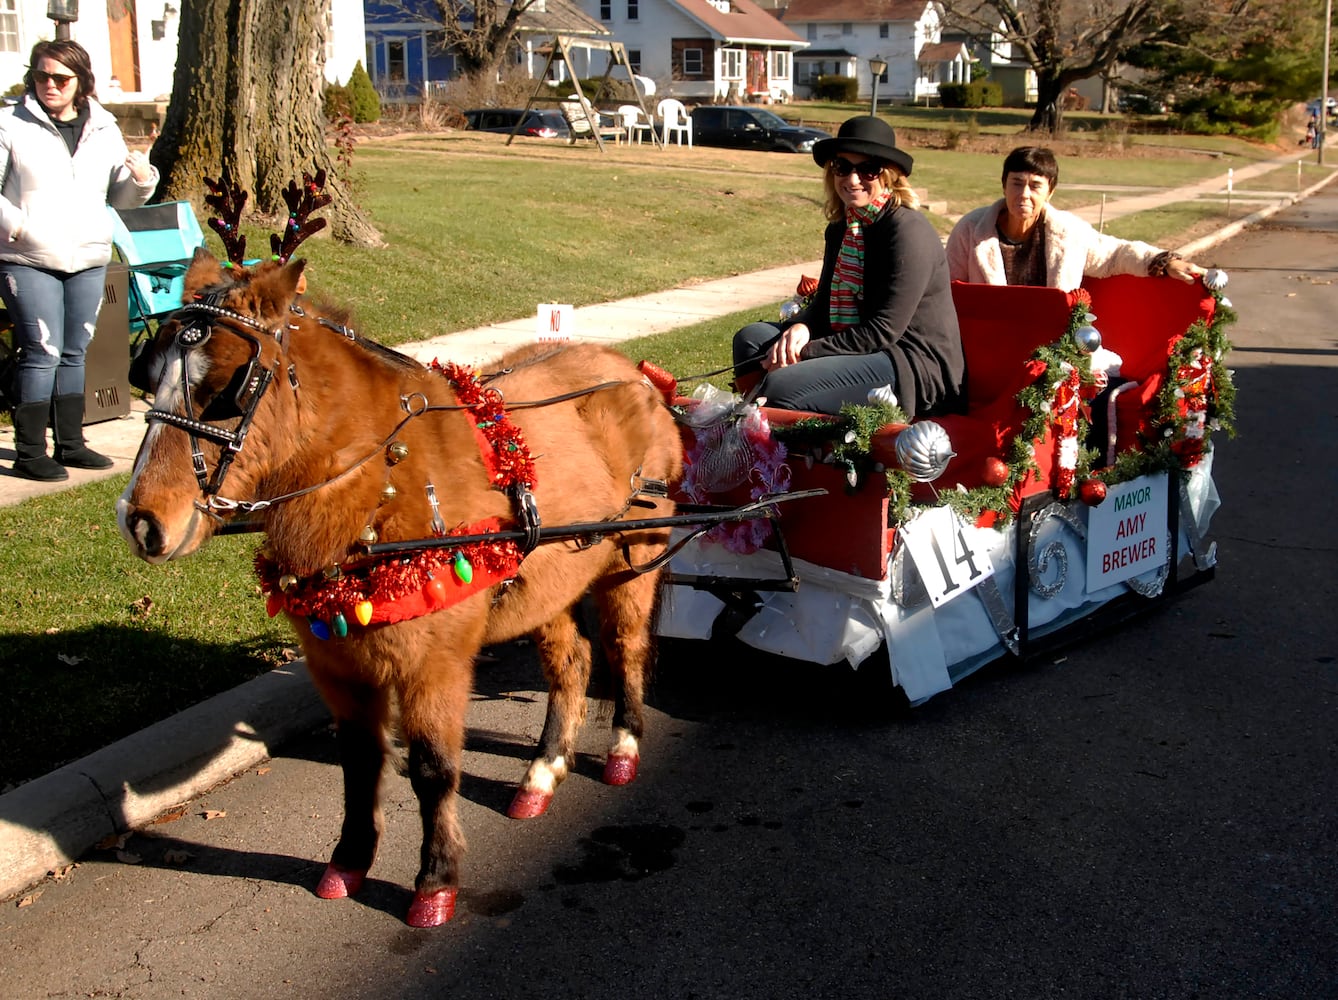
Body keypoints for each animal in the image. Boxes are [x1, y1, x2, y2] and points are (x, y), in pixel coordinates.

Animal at [116, 251, 685, 931]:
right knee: (571, 662)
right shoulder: (337, 666)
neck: (385, 487)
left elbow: (433, 770)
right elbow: (361, 763)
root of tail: (637, 375)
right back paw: (543, 772)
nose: (140, 521)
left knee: (625, 649)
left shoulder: (433, 666)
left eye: (231, 386)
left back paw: (623, 746)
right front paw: (349, 861)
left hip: (637, 556)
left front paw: (435, 883)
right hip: (549, 582)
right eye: (147, 378)